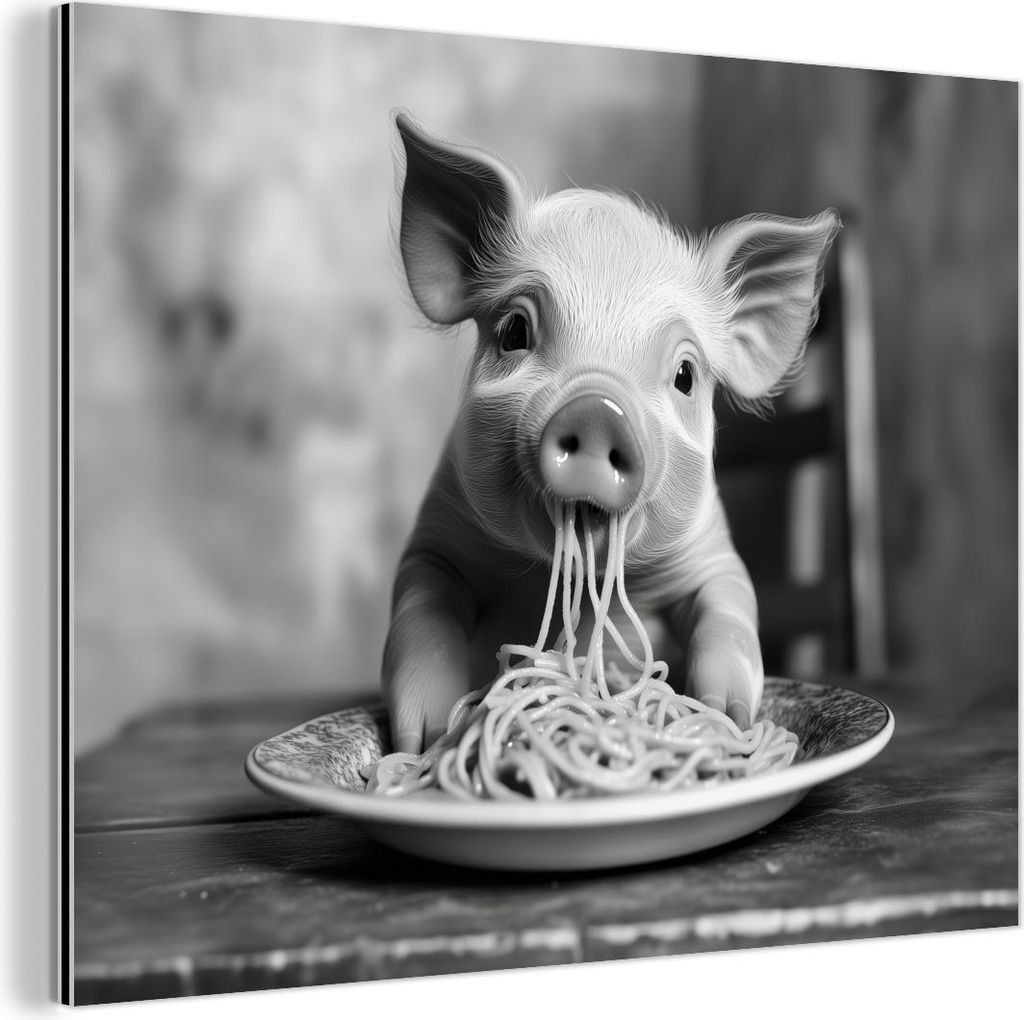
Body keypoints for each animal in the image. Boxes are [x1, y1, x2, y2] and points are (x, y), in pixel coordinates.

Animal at [383, 111, 839, 754]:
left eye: (685, 374)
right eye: (514, 331)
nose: (597, 409)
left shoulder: (708, 550)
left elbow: (729, 610)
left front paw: (724, 717)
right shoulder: (438, 537)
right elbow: (422, 614)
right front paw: (424, 740)